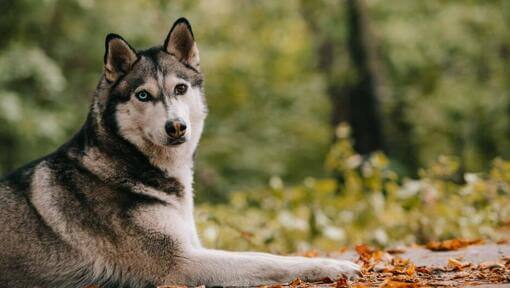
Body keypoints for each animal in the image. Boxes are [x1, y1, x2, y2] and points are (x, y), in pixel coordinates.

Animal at [0, 18, 358, 288]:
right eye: (143, 95)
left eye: (180, 88)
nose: (176, 127)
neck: (131, 163)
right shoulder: (181, 264)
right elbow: (268, 262)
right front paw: (333, 266)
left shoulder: (193, 247)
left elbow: (263, 255)